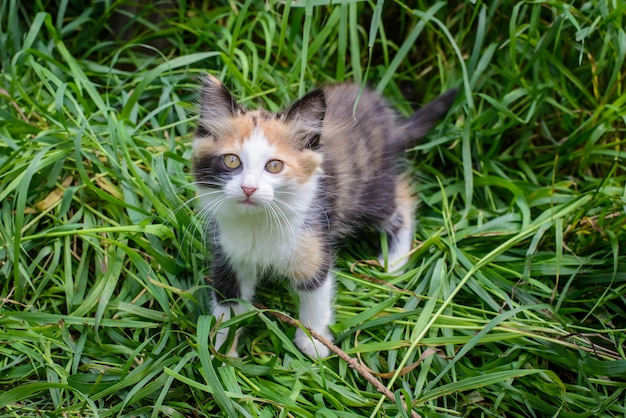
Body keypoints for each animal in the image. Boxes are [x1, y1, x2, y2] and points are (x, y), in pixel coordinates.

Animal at [190, 74, 454, 356]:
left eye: (274, 166)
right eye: (231, 161)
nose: (248, 188)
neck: (258, 222)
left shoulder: (314, 242)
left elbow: (316, 293)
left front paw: (313, 340)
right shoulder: (228, 255)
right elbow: (227, 304)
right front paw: (221, 350)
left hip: (370, 191)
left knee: (403, 200)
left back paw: (394, 262)